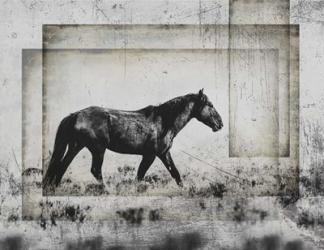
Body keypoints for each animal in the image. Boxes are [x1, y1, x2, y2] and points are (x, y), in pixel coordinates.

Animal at [43, 89, 223, 190]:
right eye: (211, 105)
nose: (220, 124)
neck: (164, 122)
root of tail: (75, 115)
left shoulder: (164, 153)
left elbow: (175, 173)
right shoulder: (151, 155)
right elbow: (140, 175)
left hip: (76, 146)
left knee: (62, 166)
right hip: (98, 149)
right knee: (95, 170)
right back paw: (106, 190)